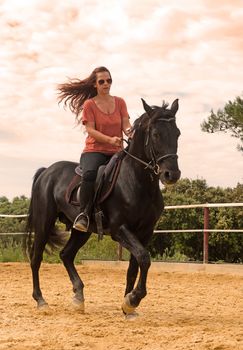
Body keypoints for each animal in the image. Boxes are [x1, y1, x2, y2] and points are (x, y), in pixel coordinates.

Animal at [26, 97, 180, 316]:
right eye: (156, 134)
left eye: (177, 133)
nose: (172, 174)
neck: (136, 181)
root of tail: (47, 172)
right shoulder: (120, 230)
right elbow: (144, 258)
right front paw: (133, 299)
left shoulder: (145, 232)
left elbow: (134, 267)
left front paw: (128, 306)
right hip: (44, 223)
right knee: (36, 258)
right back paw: (41, 300)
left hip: (81, 231)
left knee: (66, 255)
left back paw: (78, 297)